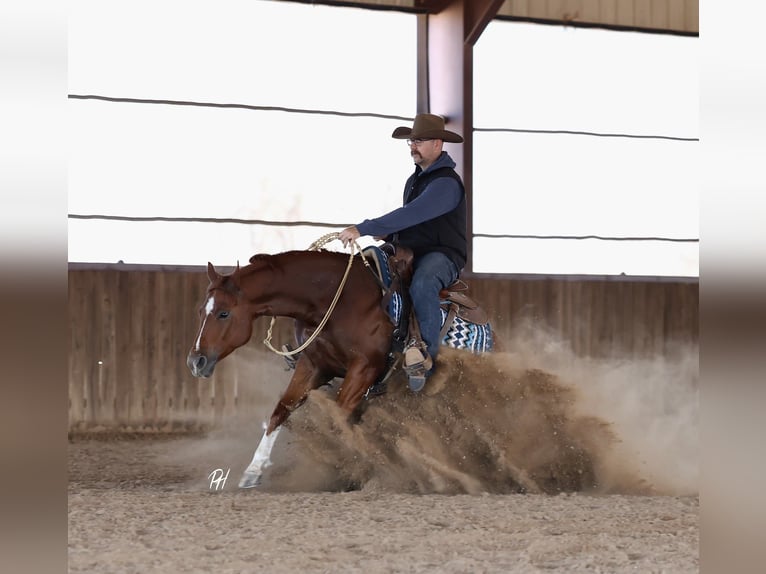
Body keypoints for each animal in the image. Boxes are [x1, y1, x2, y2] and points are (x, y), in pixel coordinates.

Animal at [187, 244, 493, 488]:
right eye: (201, 311)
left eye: (224, 313)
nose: (195, 361)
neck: (336, 299)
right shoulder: (313, 366)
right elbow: (281, 411)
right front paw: (253, 470)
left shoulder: (363, 370)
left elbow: (336, 422)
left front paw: (348, 469)